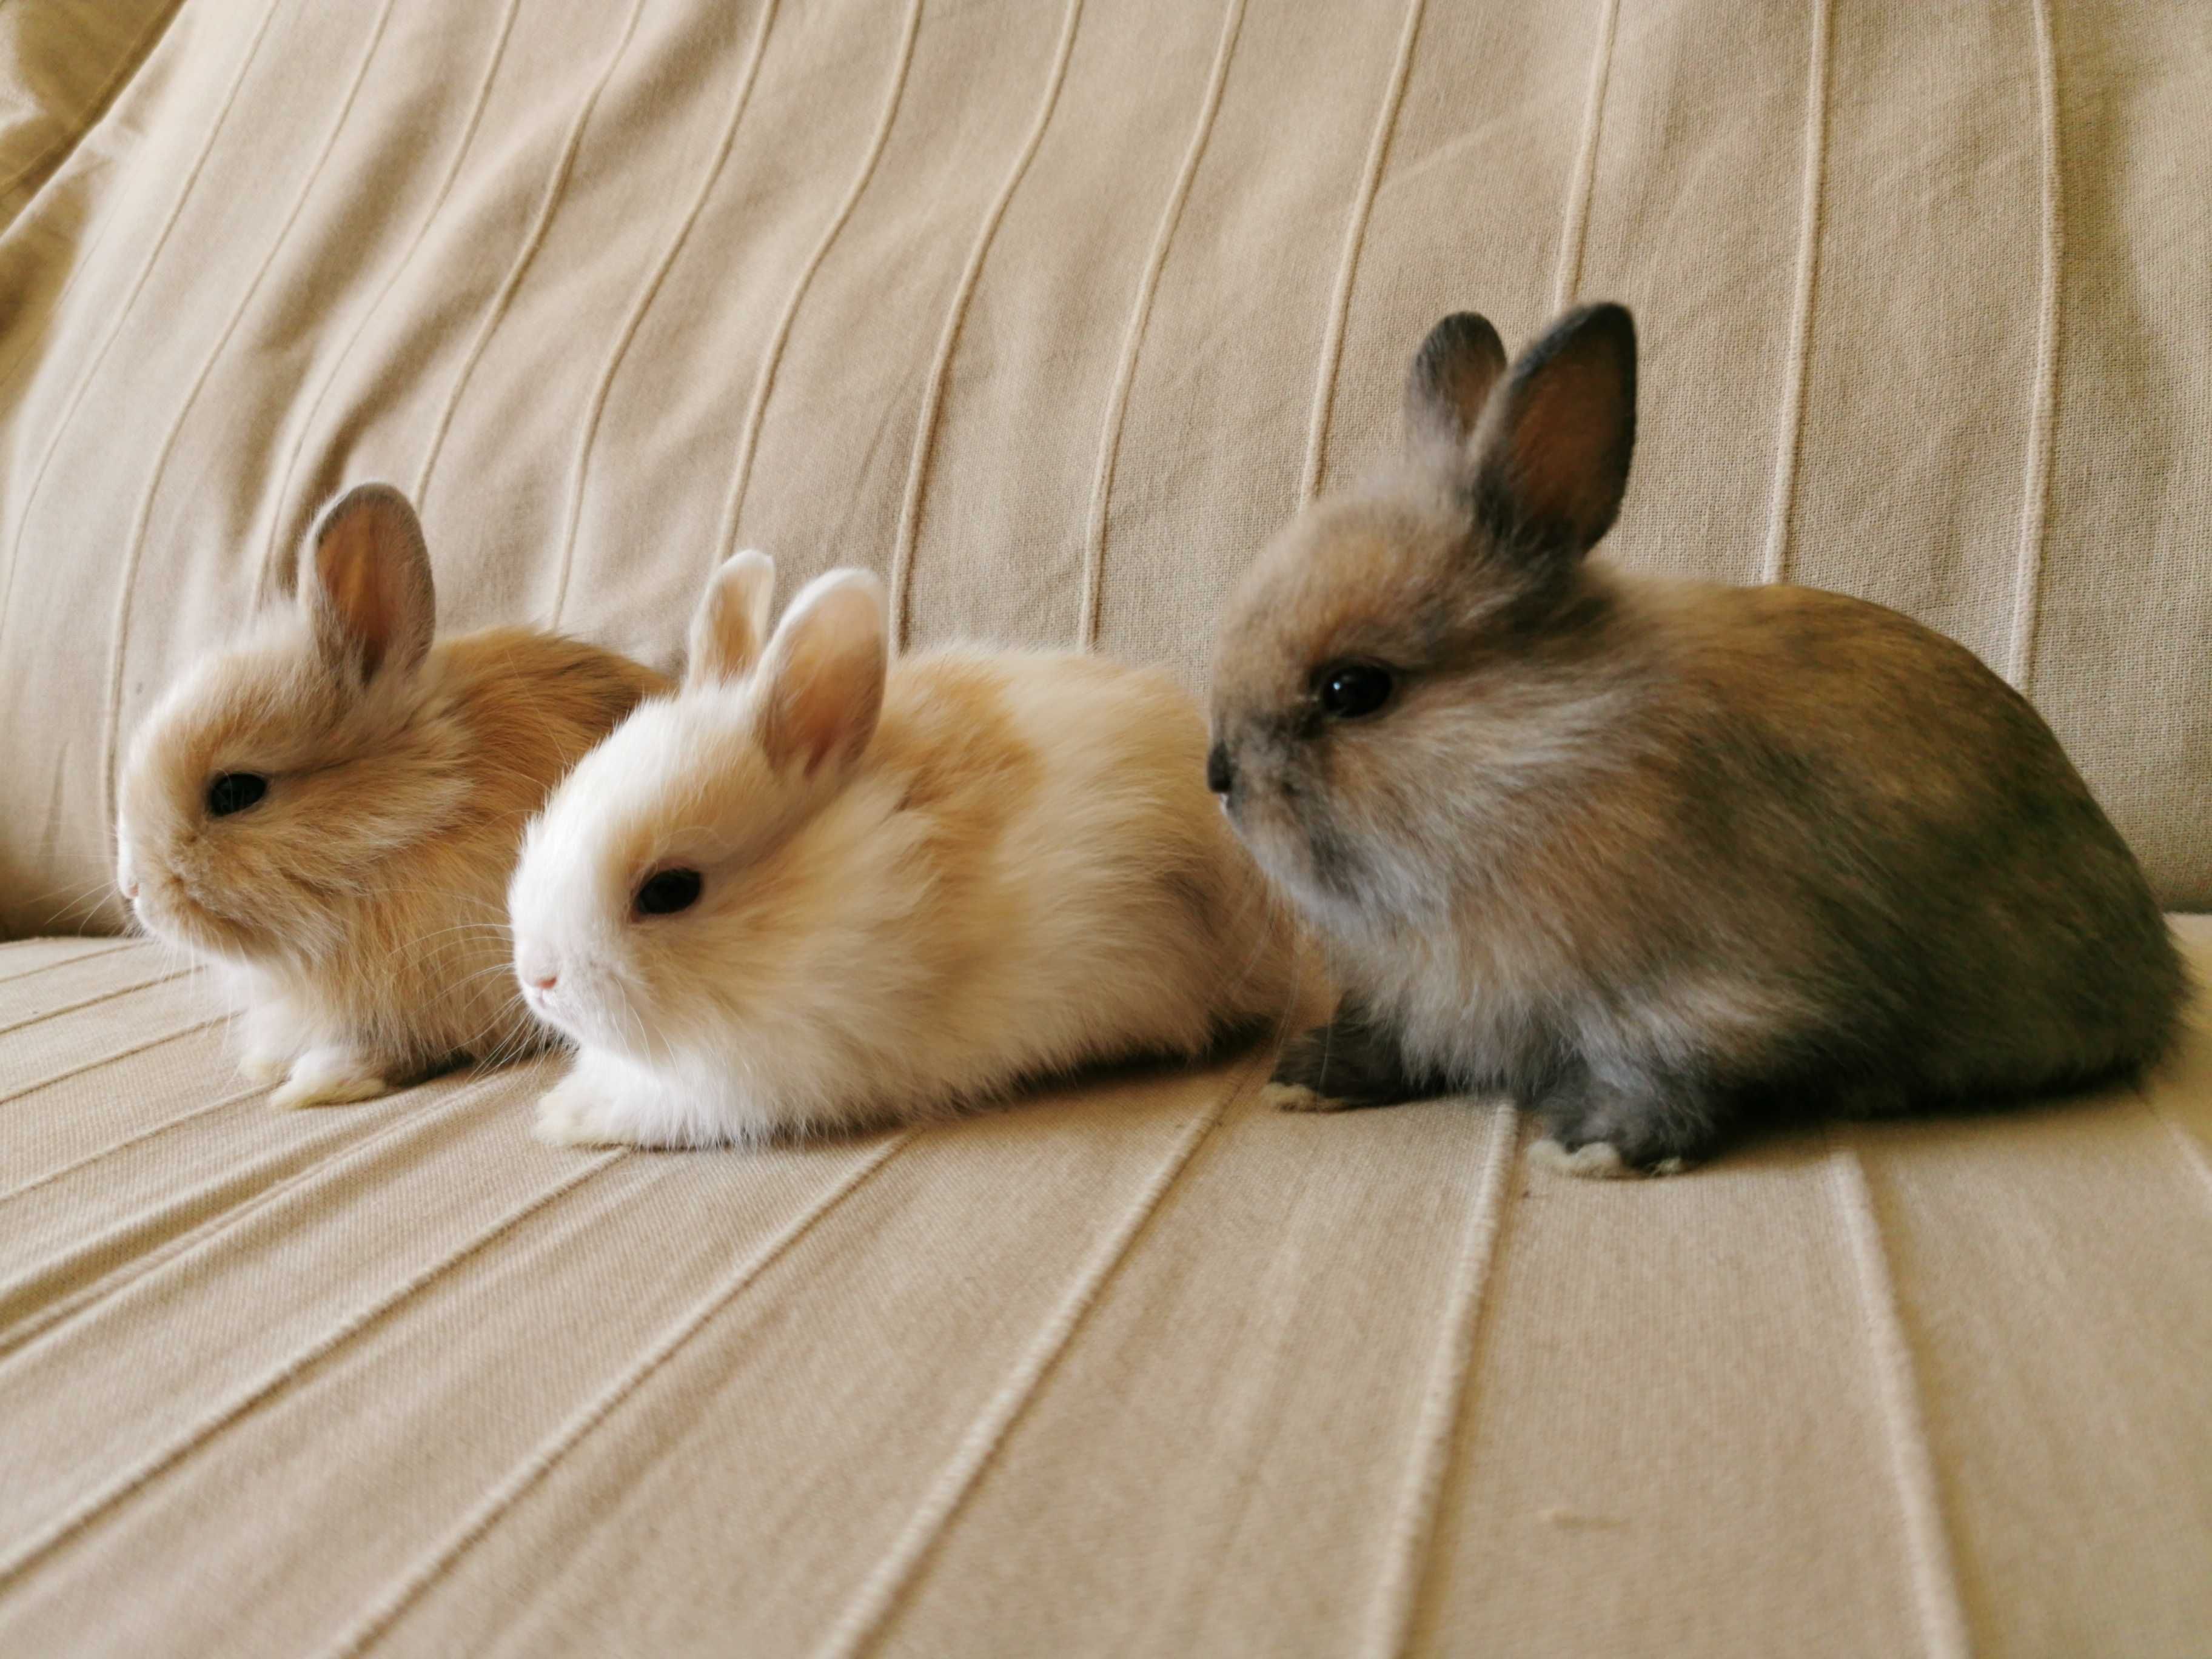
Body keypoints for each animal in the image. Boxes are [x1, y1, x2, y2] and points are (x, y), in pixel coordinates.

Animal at [1203, 303, 2185, 1185]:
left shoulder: (1698, 998)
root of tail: (2160, 977)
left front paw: (1595, 1149)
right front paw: (1306, 1080)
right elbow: (1396, 1039)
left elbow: (1666, 1076)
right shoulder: (1425, 997)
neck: (1536, 766)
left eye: (1354, 690)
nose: (1219, 774)